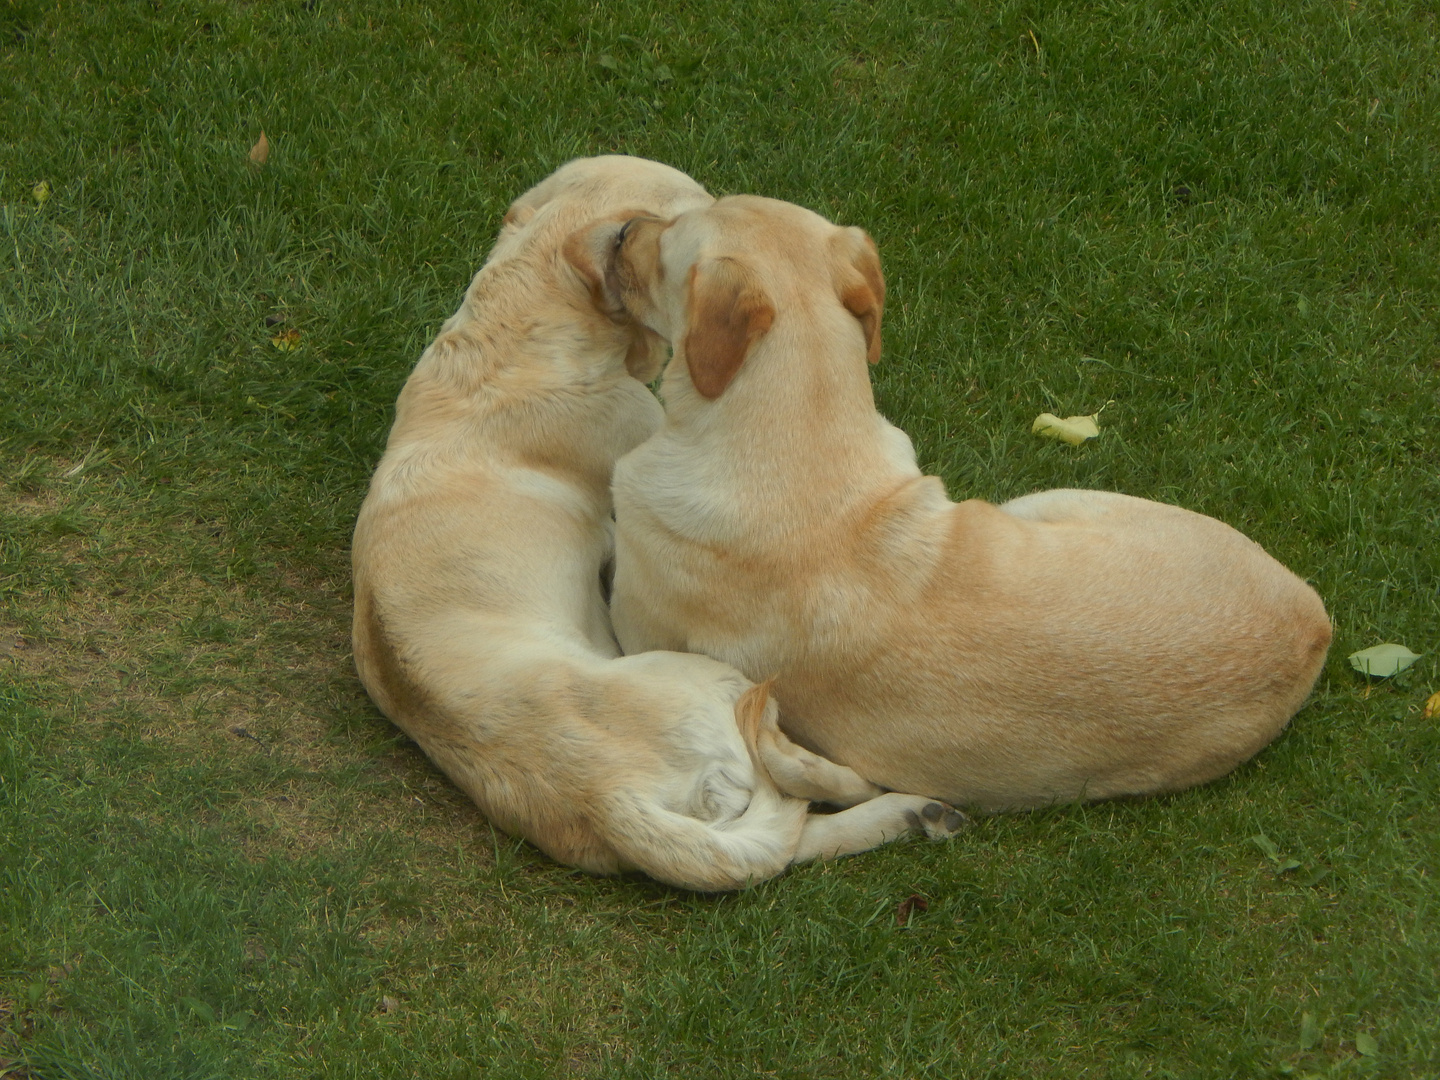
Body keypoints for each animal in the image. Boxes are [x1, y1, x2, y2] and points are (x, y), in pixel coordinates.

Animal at [345, 158, 967, 887]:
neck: (519, 319)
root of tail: (607, 800)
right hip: (708, 676)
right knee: (798, 777)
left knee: (787, 843)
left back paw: (917, 813)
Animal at [587, 198, 1336, 817]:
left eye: (664, 241)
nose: (620, 229)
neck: (794, 428)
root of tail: (1317, 625)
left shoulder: (639, 632)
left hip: (1043, 501)